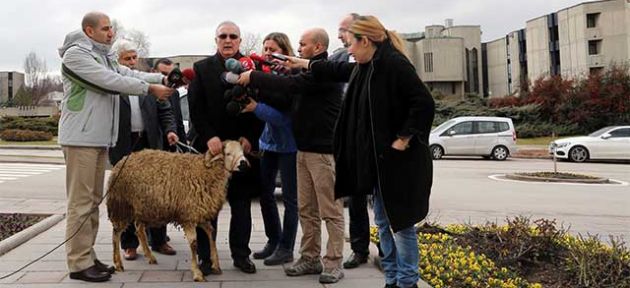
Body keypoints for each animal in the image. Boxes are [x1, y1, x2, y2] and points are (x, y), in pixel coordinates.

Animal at [106, 141, 249, 282]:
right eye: (228, 153)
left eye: (242, 151)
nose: (243, 164)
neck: (205, 172)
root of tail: (122, 161)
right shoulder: (188, 216)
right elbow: (194, 243)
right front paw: (197, 273)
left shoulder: (199, 214)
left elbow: (211, 233)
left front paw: (216, 265)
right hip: (122, 206)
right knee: (116, 234)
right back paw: (118, 263)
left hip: (143, 208)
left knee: (139, 230)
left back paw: (150, 256)